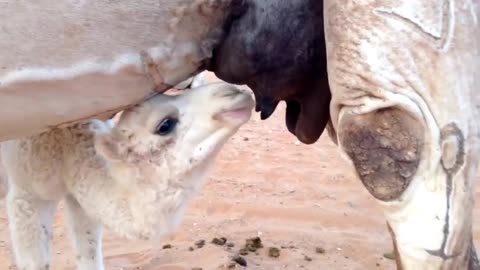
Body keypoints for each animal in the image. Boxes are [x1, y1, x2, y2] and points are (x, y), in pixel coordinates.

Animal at [0, 83, 255, 270]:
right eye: (165, 124)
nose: (235, 92)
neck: (63, 148)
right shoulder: (25, 193)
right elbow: (36, 262)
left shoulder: (79, 197)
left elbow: (89, 253)